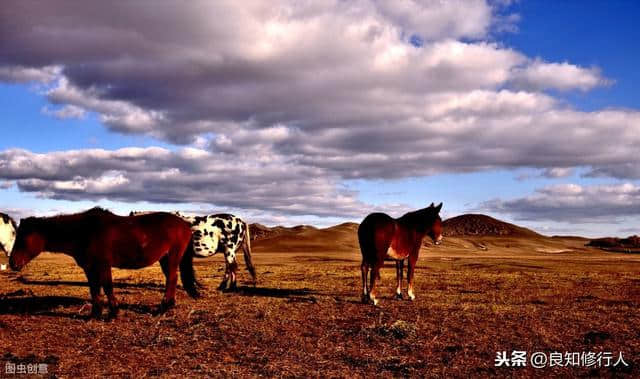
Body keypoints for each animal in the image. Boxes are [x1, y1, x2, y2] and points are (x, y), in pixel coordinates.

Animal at [8, 208, 199, 318]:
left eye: (23, 238)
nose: (12, 263)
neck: (85, 231)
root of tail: (185, 225)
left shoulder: (103, 265)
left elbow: (107, 286)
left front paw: (113, 312)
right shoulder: (89, 267)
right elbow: (94, 289)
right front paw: (96, 313)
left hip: (172, 257)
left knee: (172, 278)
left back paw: (163, 308)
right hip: (165, 259)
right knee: (171, 279)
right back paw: (168, 305)